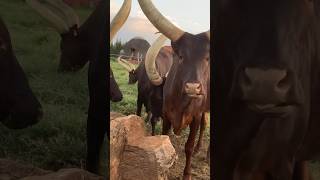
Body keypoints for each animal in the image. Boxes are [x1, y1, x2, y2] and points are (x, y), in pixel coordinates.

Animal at [138, 0, 210, 179]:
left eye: (207, 58)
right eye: (181, 56)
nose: (193, 87)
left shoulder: (195, 116)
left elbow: (188, 146)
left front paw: (186, 174)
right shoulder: (166, 116)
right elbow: (166, 138)